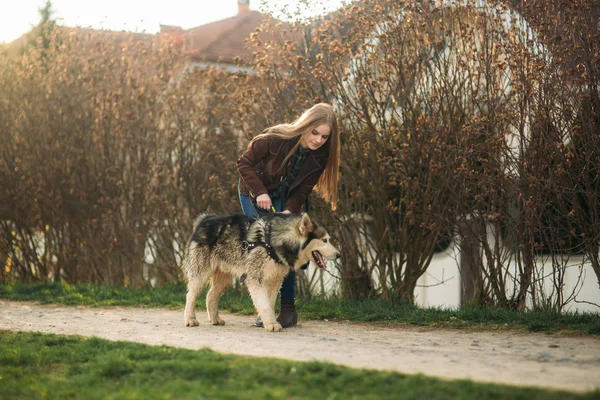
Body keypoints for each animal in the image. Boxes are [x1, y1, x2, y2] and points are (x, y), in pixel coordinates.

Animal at [180, 212, 340, 332]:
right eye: (324, 240)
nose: (338, 255)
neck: (272, 243)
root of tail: (205, 218)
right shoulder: (255, 279)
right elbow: (264, 304)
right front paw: (271, 324)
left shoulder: (275, 281)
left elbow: (270, 304)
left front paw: (268, 321)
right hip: (200, 274)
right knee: (190, 296)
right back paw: (190, 319)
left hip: (223, 279)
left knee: (210, 296)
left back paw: (215, 319)